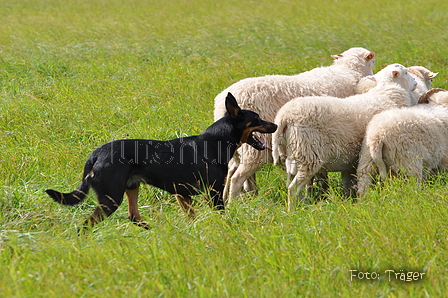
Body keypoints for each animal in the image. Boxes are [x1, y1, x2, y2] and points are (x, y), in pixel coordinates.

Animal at [45, 93, 276, 230]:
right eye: (256, 119)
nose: (274, 125)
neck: (215, 142)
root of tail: (95, 155)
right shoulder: (214, 193)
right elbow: (220, 215)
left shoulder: (182, 195)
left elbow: (191, 218)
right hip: (110, 198)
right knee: (86, 225)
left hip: (131, 187)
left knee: (133, 216)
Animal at [212, 47, 376, 204]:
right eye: (373, 62)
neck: (348, 70)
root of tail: (221, 105)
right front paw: (319, 195)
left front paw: (312, 195)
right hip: (255, 148)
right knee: (238, 176)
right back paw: (235, 202)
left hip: (238, 149)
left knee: (231, 172)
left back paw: (233, 199)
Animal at [272, 63, 418, 210]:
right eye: (406, 72)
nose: (416, 83)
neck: (387, 92)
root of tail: (285, 116)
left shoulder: (350, 162)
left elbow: (349, 183)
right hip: (308, 154)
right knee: (293, 188)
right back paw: (293, 210)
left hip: (290, 155)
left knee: (291, 184)